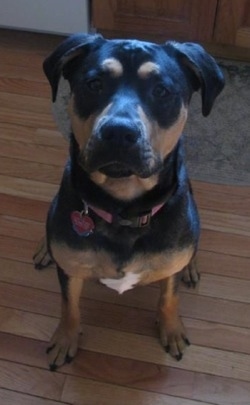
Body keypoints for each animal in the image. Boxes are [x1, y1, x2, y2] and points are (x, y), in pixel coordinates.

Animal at [33, 34, 225, 370]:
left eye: (161, 91)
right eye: (94, 84)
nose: (119, 131)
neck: (123, 209)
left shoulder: (170, 263)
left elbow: (169, 297)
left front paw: (172, 330)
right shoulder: (70, 268)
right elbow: (69, 305)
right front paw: (65, 339)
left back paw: (191, 266)